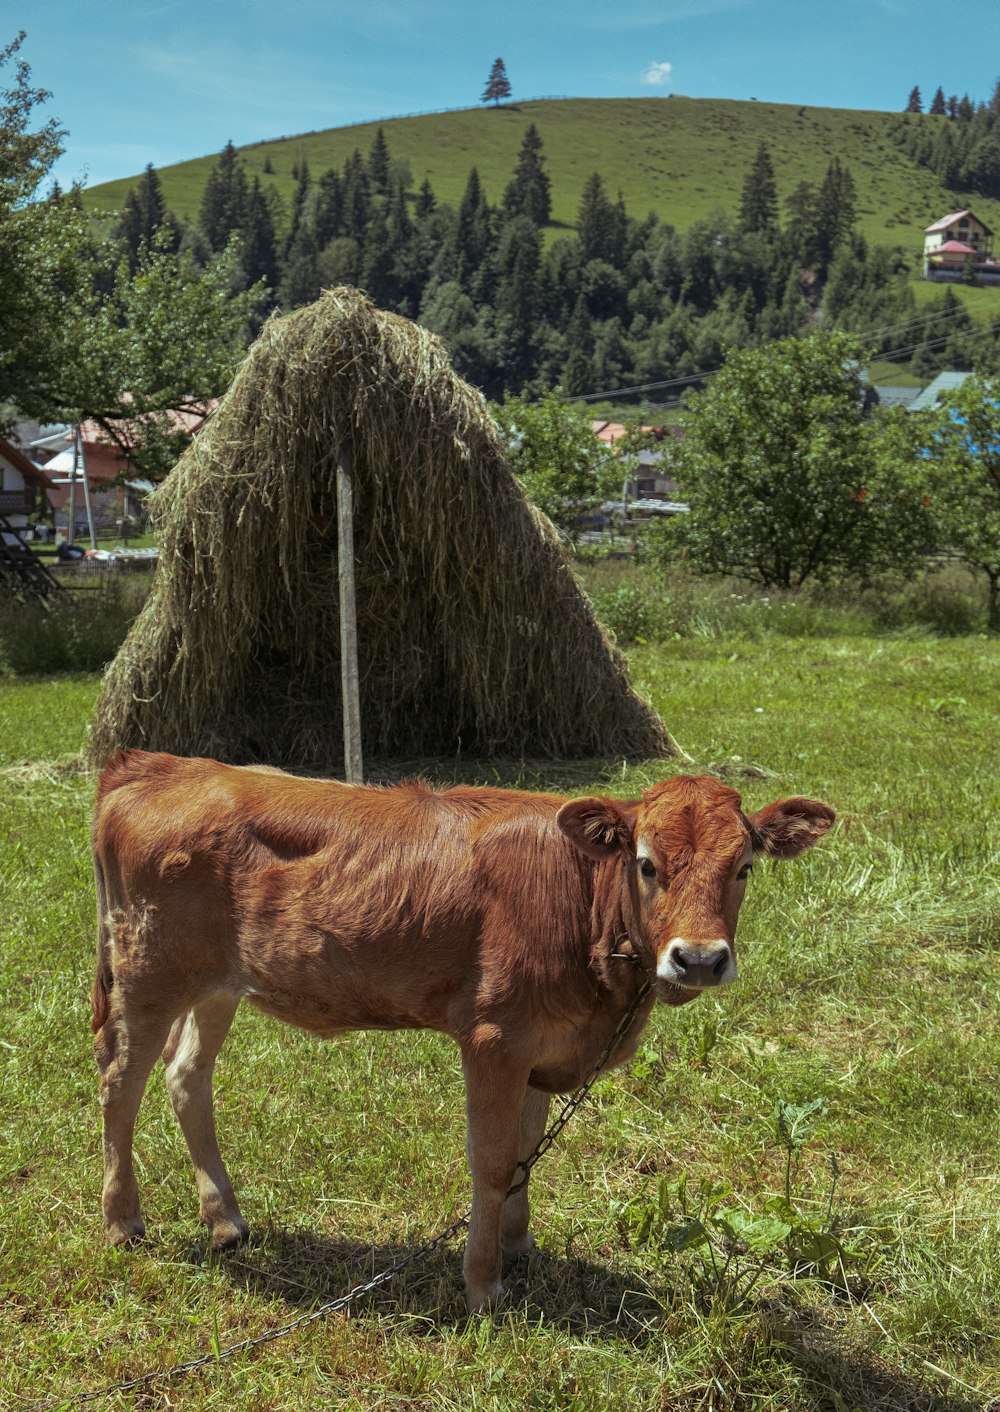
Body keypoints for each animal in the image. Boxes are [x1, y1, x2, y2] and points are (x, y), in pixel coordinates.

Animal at [91, 751, 836, 1310]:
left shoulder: (542, 1049)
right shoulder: (494, 1041)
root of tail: (157, 765)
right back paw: (124, 1220)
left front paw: (519, 1248)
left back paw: (225, 1218)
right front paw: (483, 1284)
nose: (700, 959)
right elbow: (494, 1159)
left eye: (744, 867)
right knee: (120, 1083)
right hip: (149, 973)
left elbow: (527, 1154)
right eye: (647, 863)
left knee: (187, 1076)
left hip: (217, 984)